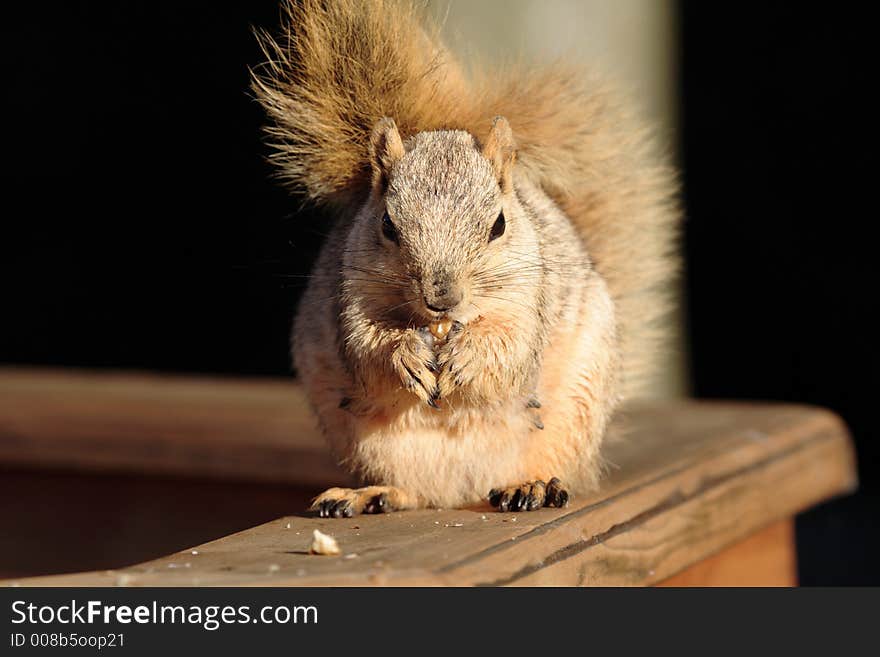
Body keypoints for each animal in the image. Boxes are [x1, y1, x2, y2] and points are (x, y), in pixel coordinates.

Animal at [251, 0, 676, 516]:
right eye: (387, 224)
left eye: (499, 225)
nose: (441, 298)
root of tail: (461, 491)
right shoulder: (348, 294)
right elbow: (366, 347)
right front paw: (405, 354)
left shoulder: (531, 298)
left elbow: (513, 348)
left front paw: (468, 358)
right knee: (410, 491)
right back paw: (369, 493)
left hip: (573, 415)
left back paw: (531, 485)